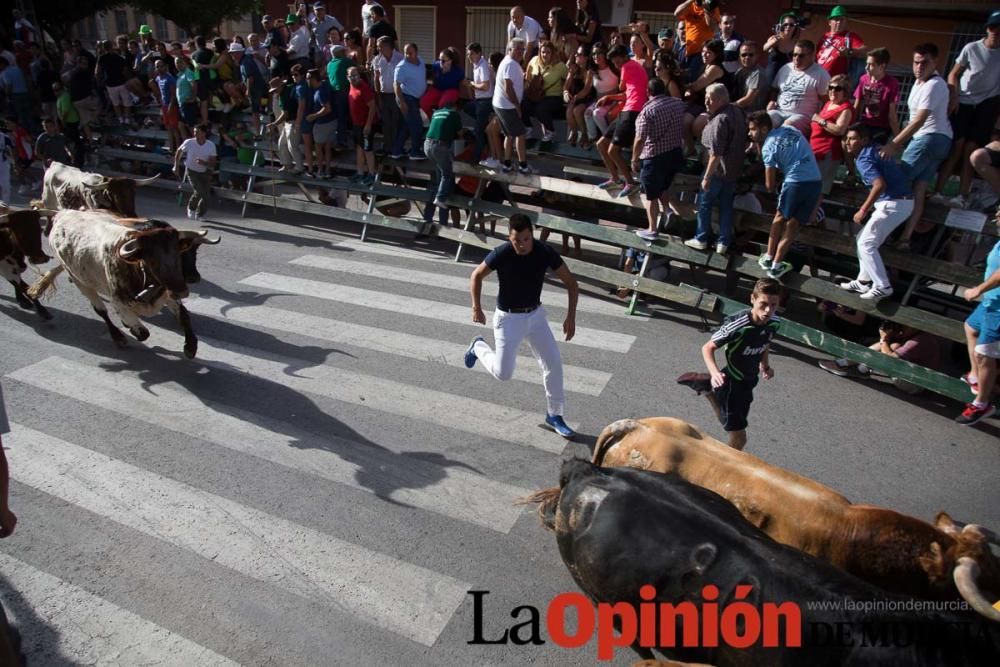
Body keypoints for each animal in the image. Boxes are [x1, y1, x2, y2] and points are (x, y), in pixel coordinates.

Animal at [28, 210, 214, 358]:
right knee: (101, 311)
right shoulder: (119, 302)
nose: (182, 289)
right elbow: (143, 333)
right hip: (80, 281)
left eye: (178, 252)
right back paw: (118, 337)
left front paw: (190, 346)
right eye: (152, 258)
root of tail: (63, 213)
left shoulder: (167, 294)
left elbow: (184, 314)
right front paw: (130, 329)